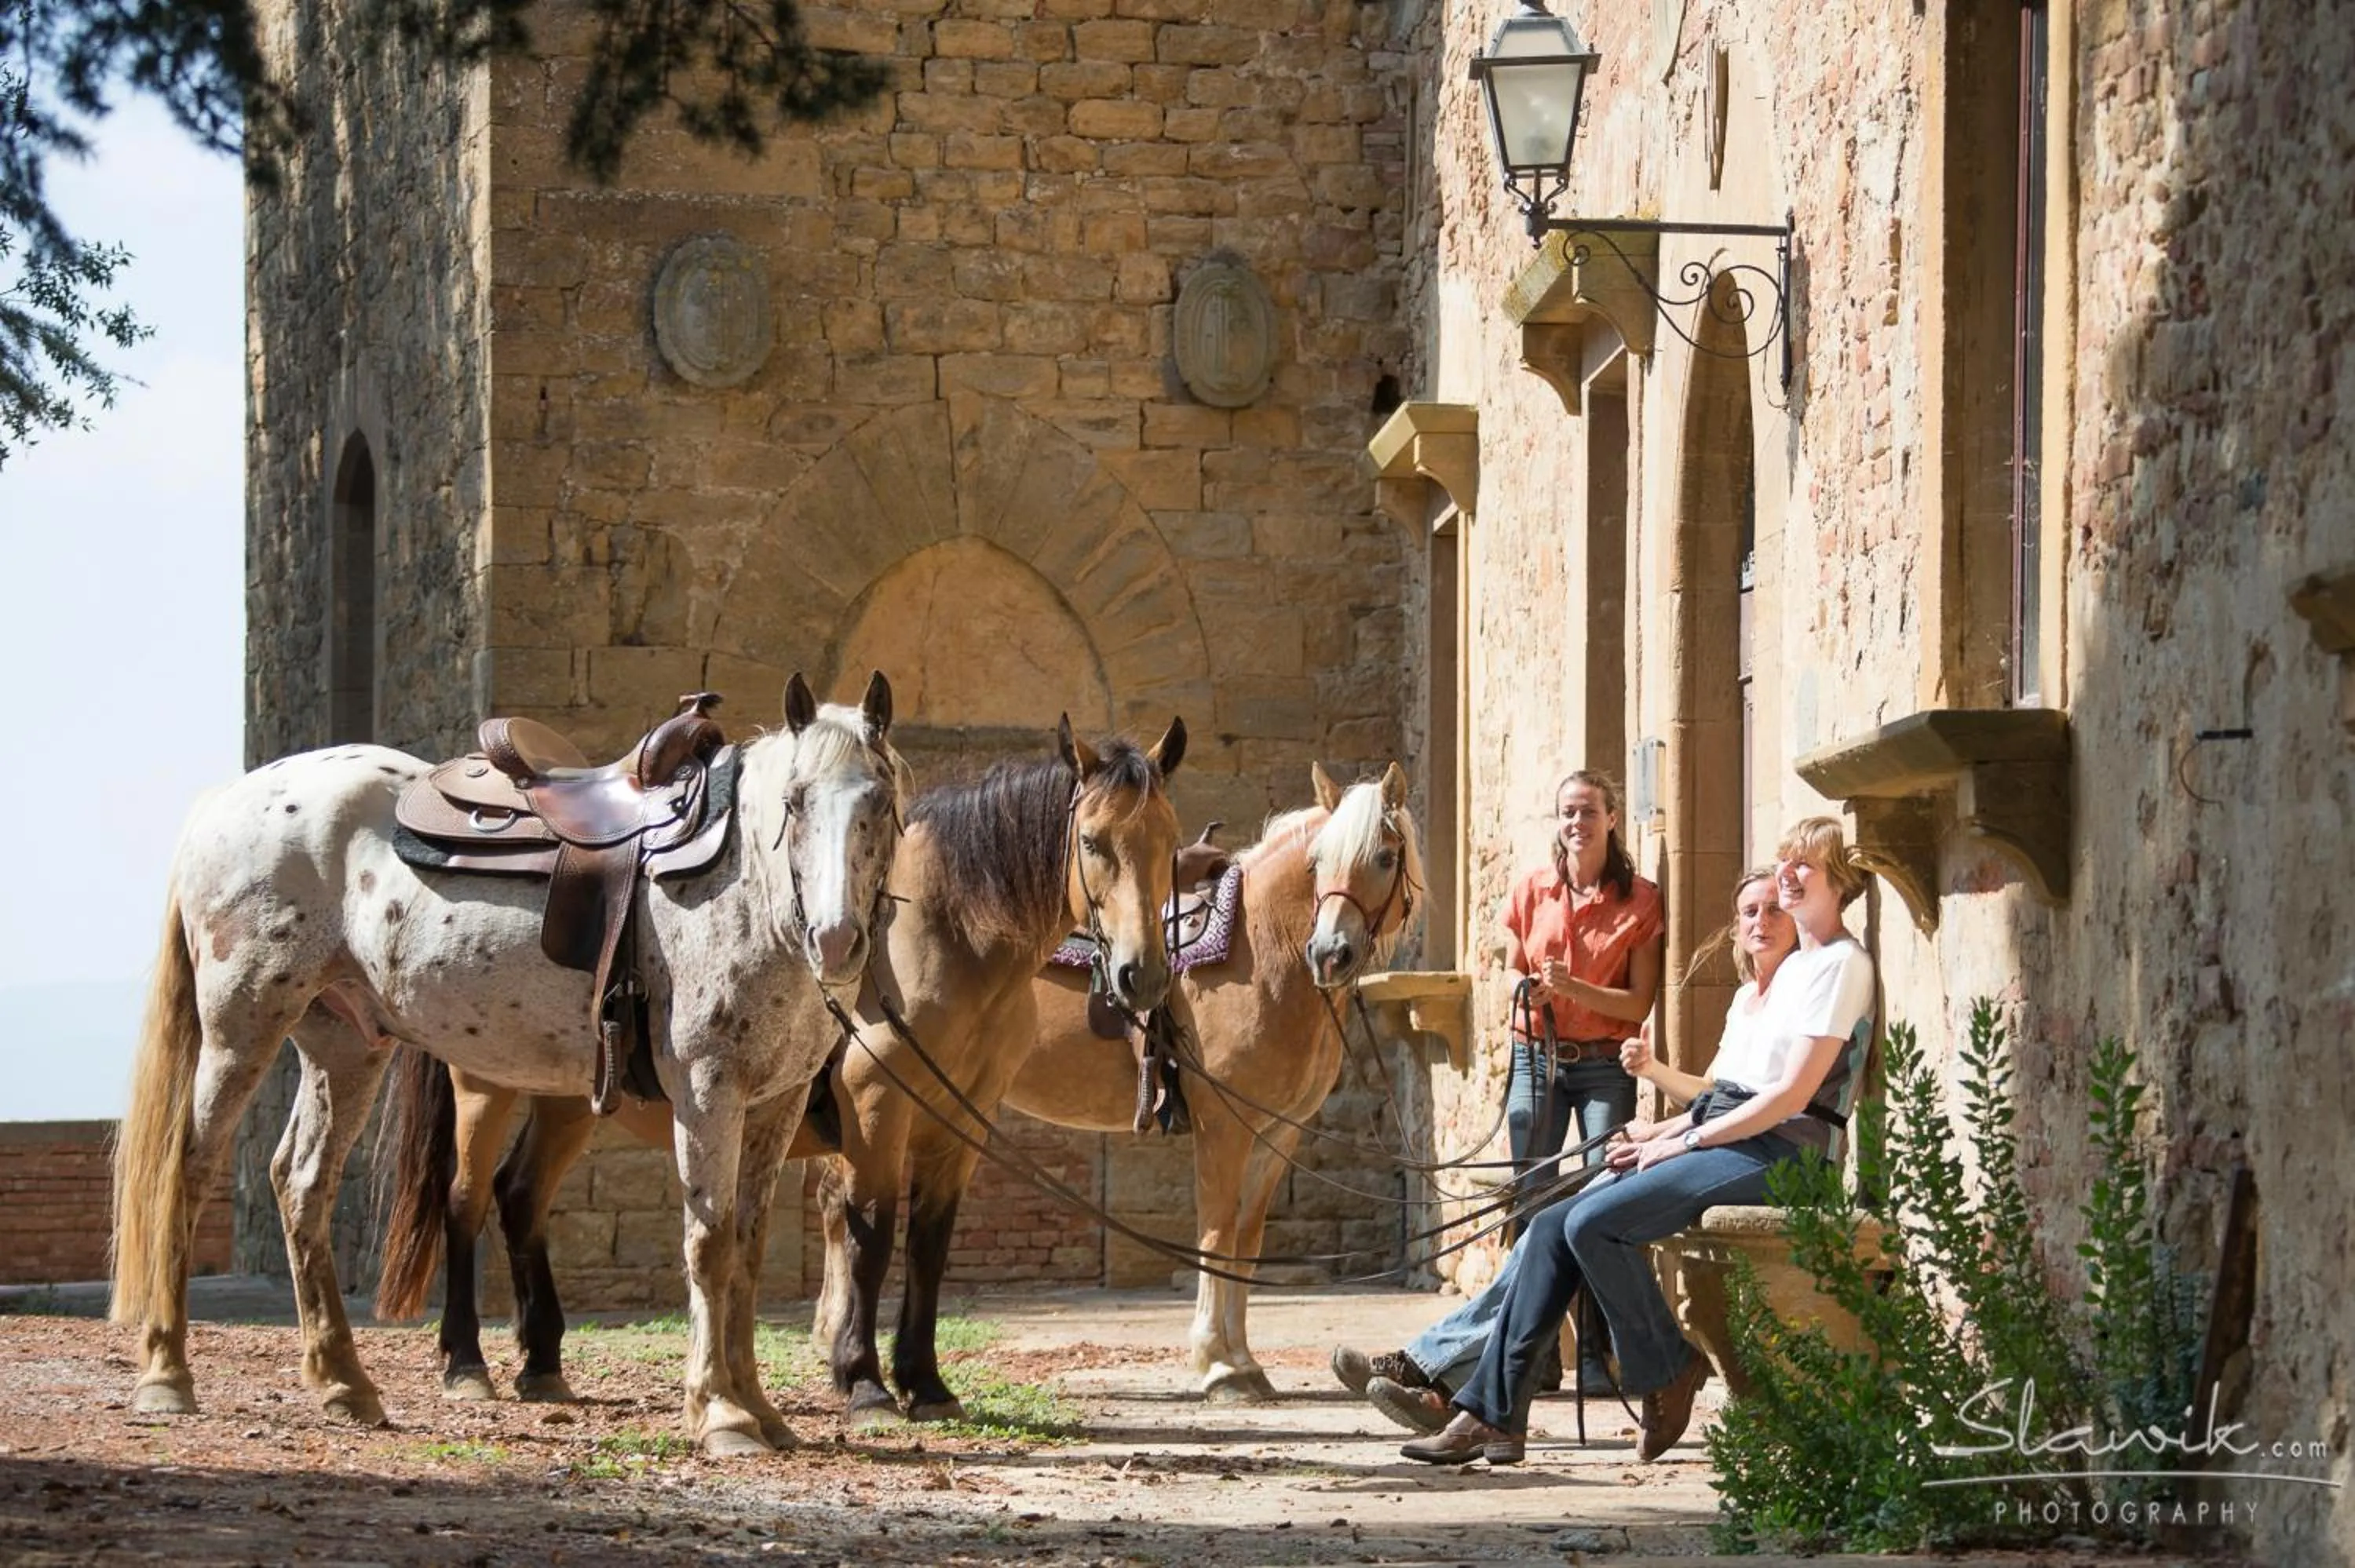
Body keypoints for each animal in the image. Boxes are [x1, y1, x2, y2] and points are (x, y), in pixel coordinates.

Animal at [109, 674, 906, 1456]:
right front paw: (722, 1414)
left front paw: (762, 1410)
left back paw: (344, 1383)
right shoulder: (708, 1092)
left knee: (302, 1182)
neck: (745, 890)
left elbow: (746, 1246)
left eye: (881, 800)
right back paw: (166, 1374)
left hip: (344, 1044)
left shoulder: (773, 1102)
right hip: (242, 1025)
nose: (836, 939)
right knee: (187, 1168)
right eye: (795, 801)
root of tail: (225, 802)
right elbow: (708, 1245)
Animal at [368, 715, 1187, 1426]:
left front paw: (925, 1383)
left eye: (1170, 843)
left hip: (565, 1096)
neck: (939, 930)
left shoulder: (961, 1122)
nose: (1142, 976)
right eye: (1092, 841)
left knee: (520, 1198)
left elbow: (929, 1244)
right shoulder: (876, 1112)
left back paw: (542, 1363)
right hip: (486, 1086)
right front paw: (865, 1383)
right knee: (466, 1200)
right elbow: (870, 1237)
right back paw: (466, 1363)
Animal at [998, 761, 1421, 1401]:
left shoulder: (1279, 1131)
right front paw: (1216, 1365)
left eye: (1385, 857)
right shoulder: (1222, 1122)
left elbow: (1246, 1241)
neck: (1260, 946)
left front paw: (1243, 1361)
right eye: (1316, 862)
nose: (1330, 953)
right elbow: (1216, 1233)